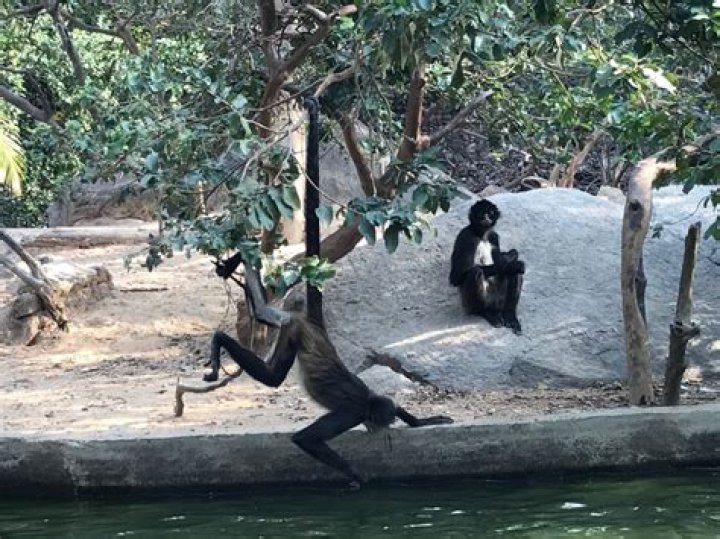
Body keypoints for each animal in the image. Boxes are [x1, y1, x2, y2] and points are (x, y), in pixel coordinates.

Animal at [205, 258, 453, 486]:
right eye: (385, 421)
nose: (387, 426)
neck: (368, 402)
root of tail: (315, 327)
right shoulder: (352, 414)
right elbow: (305, 439)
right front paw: (357, 476)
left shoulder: (372, 396)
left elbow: (398, 405)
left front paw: (422, 421)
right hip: (296, 331)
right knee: (274, 378)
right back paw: (220, 338)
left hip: (292, 327)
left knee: (264, 317)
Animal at [449, 199, 525, 334]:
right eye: (480, 213)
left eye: (490, 213)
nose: (486, 218)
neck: (482, 236)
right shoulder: (466, 236)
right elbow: (456, 277)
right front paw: (511, 265)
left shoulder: (493, 236)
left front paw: (511, 257)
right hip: (472, 303)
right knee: (476, 271)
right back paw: (486, 312)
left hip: (500, 299)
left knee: (517, 274)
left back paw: (510, 315)